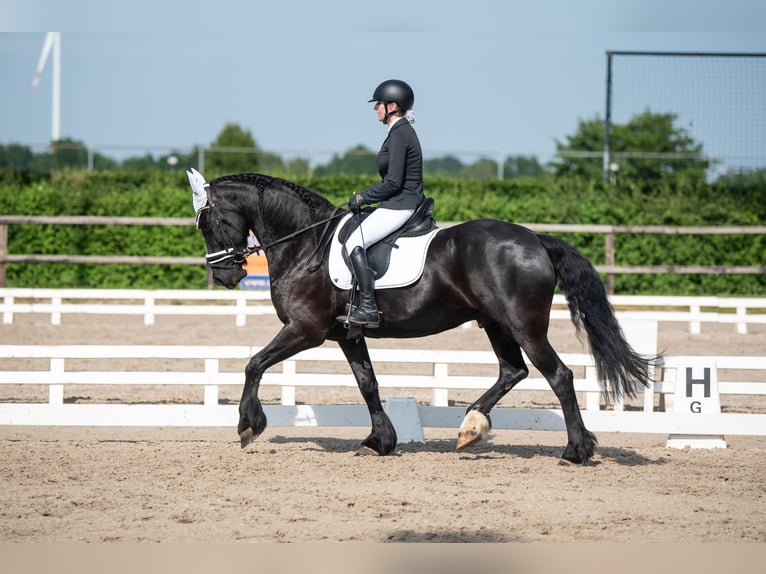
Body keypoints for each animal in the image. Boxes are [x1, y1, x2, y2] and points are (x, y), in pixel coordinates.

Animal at [188, 170, 656, 464]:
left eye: (208, 222)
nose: (225, 275)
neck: (307, 245)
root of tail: (536, 240)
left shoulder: (307, 329)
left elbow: (254, 363)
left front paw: (249, 425)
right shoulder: (346, 334)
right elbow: (368, 384)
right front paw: (380, 442)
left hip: (523, 325)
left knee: (558, 375)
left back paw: (575, 451)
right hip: (496, 323)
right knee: (513, 371)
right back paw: (471, 428)